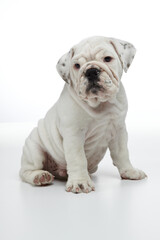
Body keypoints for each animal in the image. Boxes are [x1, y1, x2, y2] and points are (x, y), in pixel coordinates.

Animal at [19, 36, 147, 193]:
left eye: (107, 58)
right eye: (77, 66)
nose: (91, 71)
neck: (100, 103)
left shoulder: (119, 130)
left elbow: (122, 154)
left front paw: (129, 172)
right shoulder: (74, 134)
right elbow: (78, 158)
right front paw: (80, 182)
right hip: (34, 149)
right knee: (26, 171)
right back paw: (40, 176)